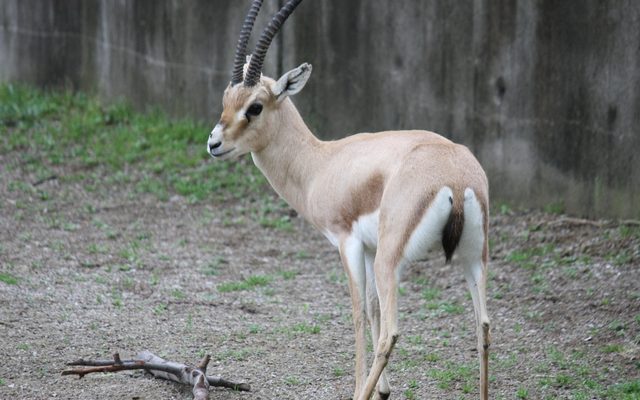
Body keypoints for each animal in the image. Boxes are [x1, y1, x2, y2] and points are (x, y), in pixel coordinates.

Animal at [207, 1, 491, 399]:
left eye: (255, 106)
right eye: (226, 99)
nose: (214, 143)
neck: (321, 163)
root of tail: (455, 174)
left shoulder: (348, 243)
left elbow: (357, 312)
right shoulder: (369, 248)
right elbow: (371, 308)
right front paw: (384, 390)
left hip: (392, 259)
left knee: (392, 333)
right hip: (472, 256)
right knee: (483, 326)